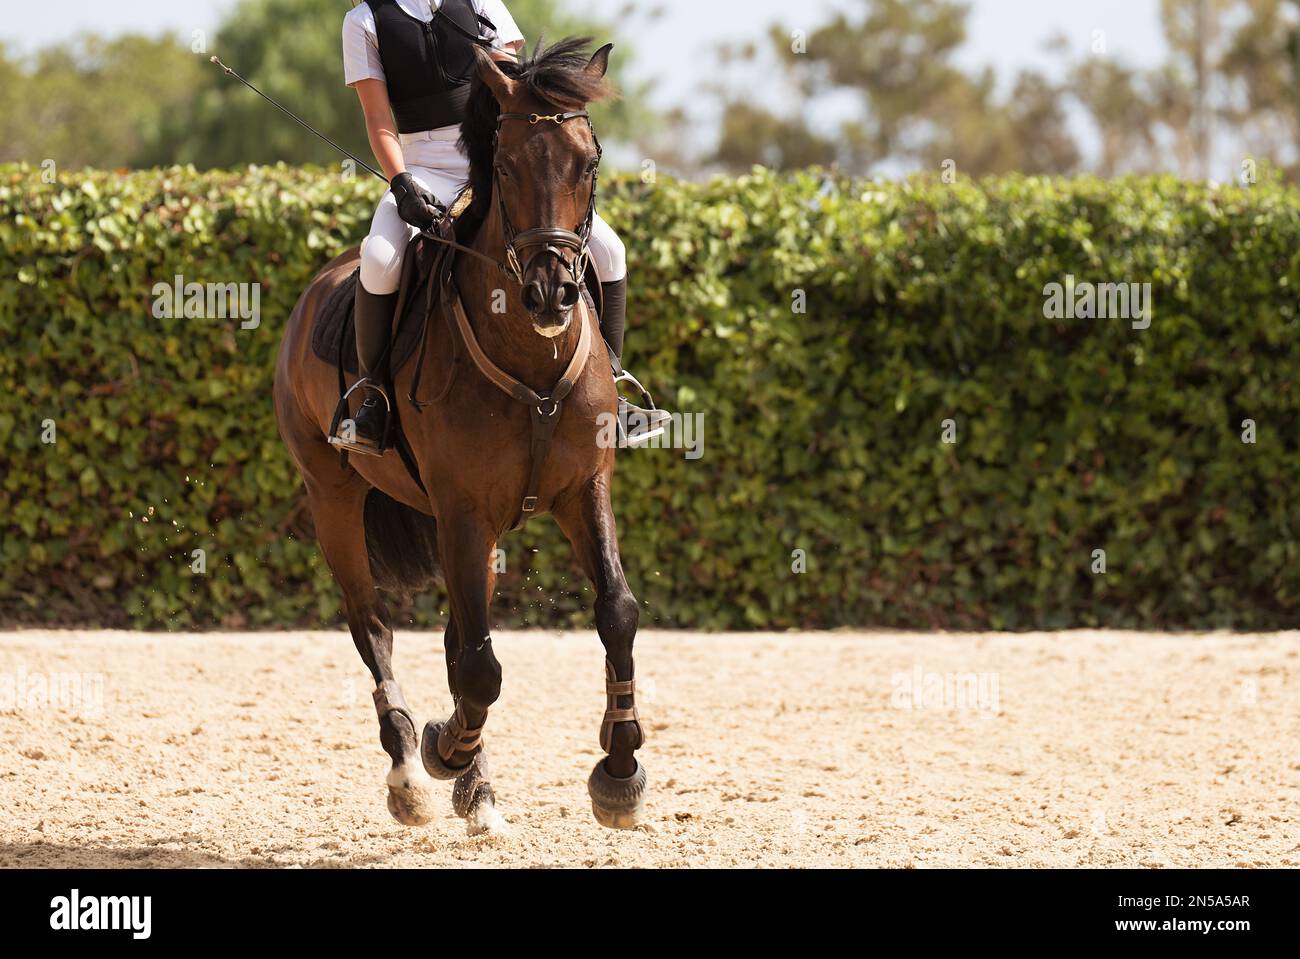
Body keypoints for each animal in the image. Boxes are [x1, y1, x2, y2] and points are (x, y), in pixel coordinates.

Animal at [272, 39, 646, 835]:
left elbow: (617, 613)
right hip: (335, 498)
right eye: (504, 167)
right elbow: (479, 665)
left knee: (452, 637)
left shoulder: (581, 488)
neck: (529, 351)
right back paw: (413, 773)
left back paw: (476, 790)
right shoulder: (465, 511)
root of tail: (321, 284)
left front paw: (620, 770)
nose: (553, 293)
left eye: (588, 162)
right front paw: (446, 750)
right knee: (374, 627)